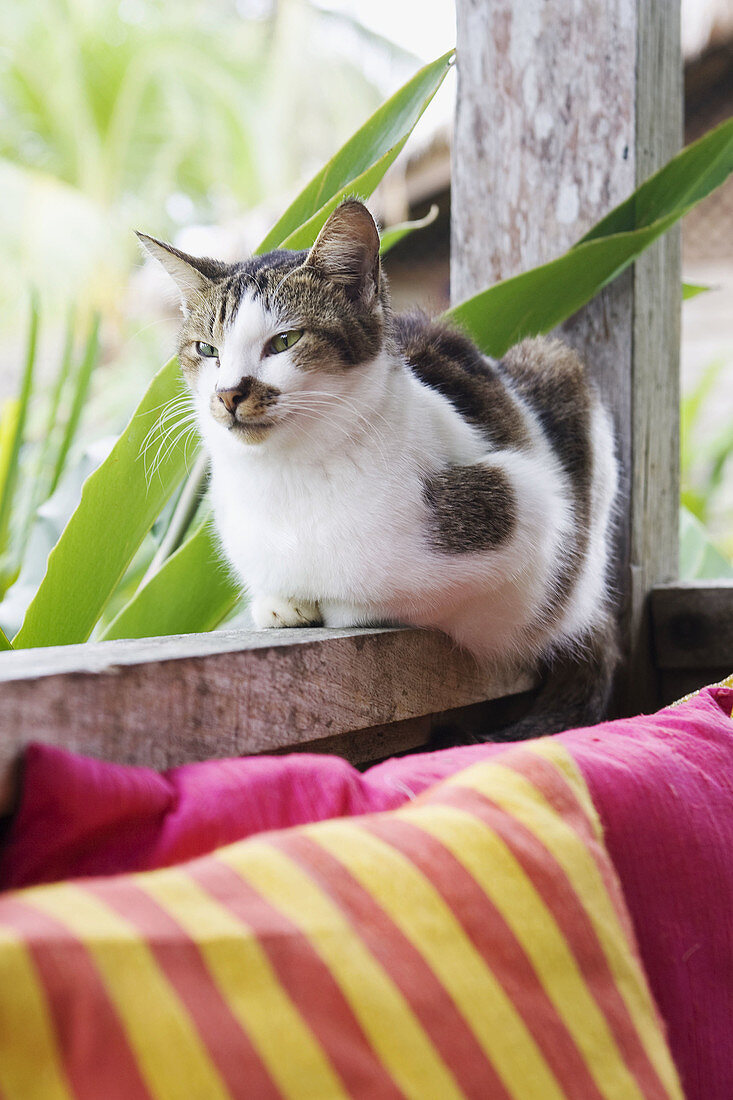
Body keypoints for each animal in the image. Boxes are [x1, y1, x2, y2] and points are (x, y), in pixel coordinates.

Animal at [138, 201, 616, 734]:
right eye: (207, 350)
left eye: (285, 341)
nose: (227, 394)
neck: (290, 474)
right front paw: (281, 603)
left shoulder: (526, 510)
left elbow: (397, 595)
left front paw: (341, 605)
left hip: (560, 372)